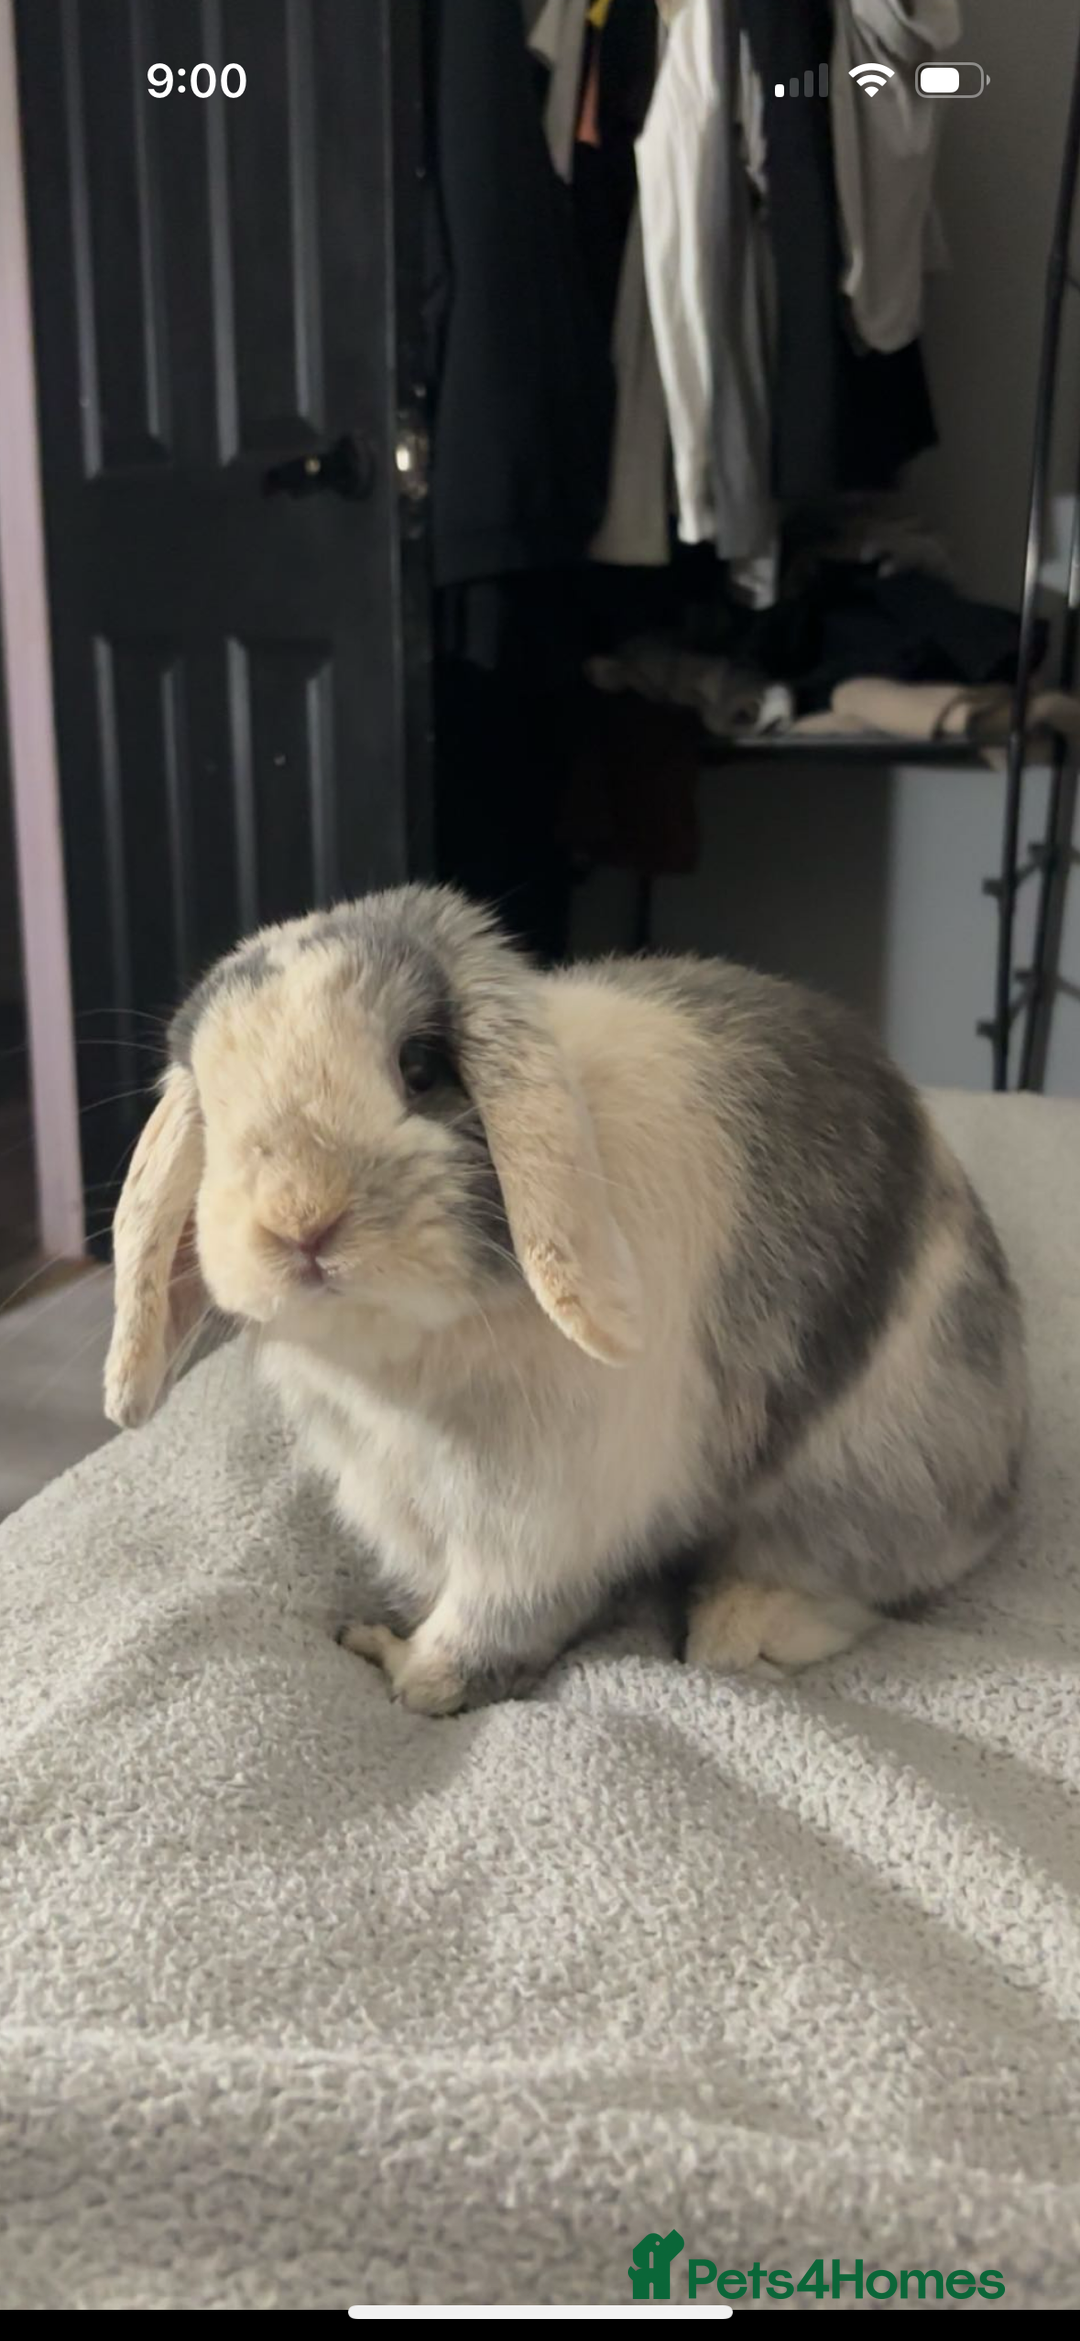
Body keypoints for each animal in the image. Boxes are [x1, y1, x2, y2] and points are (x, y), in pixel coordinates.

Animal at [105, 884, 1027, 1715]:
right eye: (212, 1108)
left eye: (419, 1065)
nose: (300, 1220)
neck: (410, 1359)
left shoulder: (535, 1524)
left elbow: (478, 1631)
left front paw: (401, 1667)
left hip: (862, 1481)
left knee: (858, 1579)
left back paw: (736, 1628)